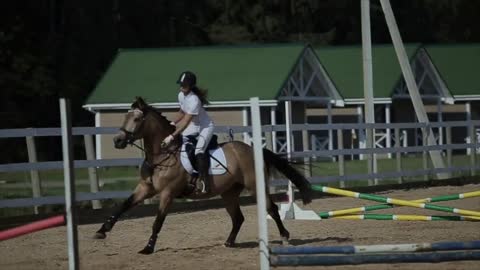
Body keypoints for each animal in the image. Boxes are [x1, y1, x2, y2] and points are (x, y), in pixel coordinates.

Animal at [94, 96, 314, 254]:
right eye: (125, 117)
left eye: (137, 119)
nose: (118, 140)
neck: (162, 154)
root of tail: (252, 149)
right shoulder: (145, 188)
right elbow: (124, 205)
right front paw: (102, 231)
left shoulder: (167, 193)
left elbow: (158, 221)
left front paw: (148, 248)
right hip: (229, 193)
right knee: (238, 218)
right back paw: (229, 242)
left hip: (254, 186)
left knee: (272, 209)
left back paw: (284, 237)